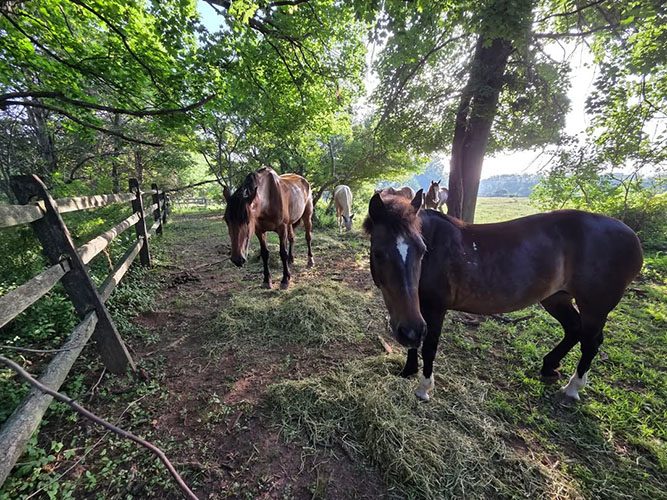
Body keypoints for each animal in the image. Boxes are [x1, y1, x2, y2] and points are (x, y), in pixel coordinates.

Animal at [364, 190, 642, 404]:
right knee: (574, 329)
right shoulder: (414, 310)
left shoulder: (434, 308)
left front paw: (423, 388)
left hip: (594, 307)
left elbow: (429, 344)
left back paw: (572, 388)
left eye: (422, 250)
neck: (436, 251)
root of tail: (634, 240)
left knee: (590, 342)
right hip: (556, 298)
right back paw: (549, 367)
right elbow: (415, 342)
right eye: (378, 253)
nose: (409, 330)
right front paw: (407, 371)